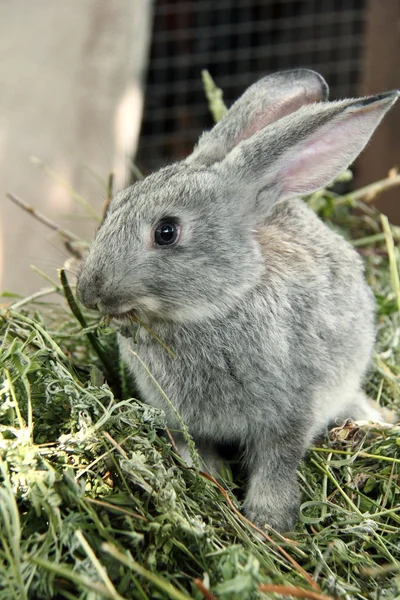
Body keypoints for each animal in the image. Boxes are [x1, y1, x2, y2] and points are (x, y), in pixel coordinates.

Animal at [76, 70, 398, 536]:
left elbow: (278, 462)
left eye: (166, 231)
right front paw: (205, 481)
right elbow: (195, 448)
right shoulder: (181, 419)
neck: (218, 304)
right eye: (115, 206)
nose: (88, 291)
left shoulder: (291, 412)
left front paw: (269, 520)